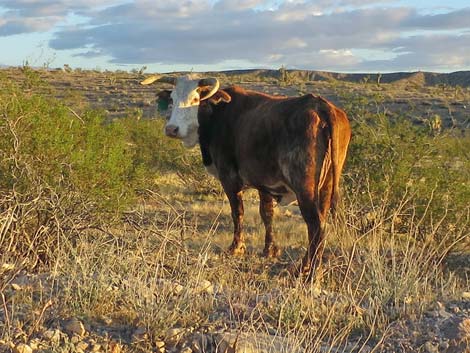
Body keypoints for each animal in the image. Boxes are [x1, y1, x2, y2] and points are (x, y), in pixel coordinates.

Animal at [141, 75, 350, 278]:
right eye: (172, 99)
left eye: (195, 99)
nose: (172, 129)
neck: (219, 114)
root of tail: (322, 107)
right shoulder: (265, 184)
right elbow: (267, 214)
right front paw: (269, 250)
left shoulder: (229, 178)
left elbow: (237, 212)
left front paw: (236, 247)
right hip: (326, 186)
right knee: (320, 223)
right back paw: (305, 266)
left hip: (304, 188)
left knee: (316, 225)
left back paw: (310, 271)